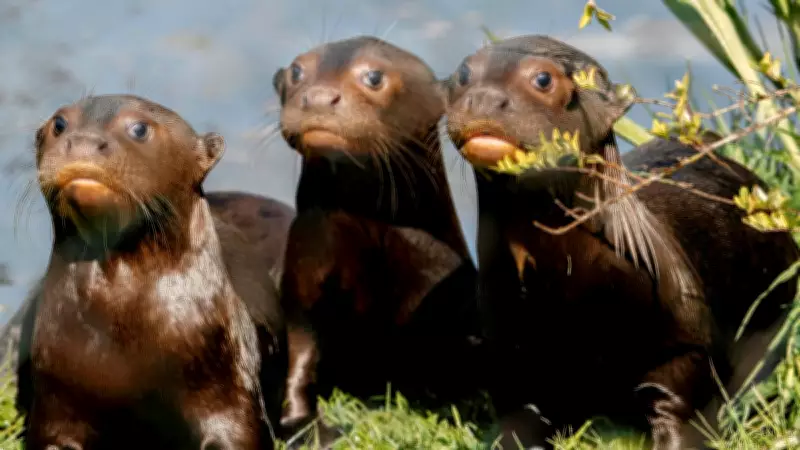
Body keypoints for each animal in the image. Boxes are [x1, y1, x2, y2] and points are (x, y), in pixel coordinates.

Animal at [271, 35, 482, 440]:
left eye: (373, 77)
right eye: (297, 71)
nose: (319, 97)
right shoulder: (305, 265)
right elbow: (302, 347)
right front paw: (303, 422)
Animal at [443, 35, 799, 450]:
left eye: (543, 79)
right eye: (463, 73)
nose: (484, 97)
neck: (578, 302)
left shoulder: (683, 350)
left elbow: (681, 412)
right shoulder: (508, 356)